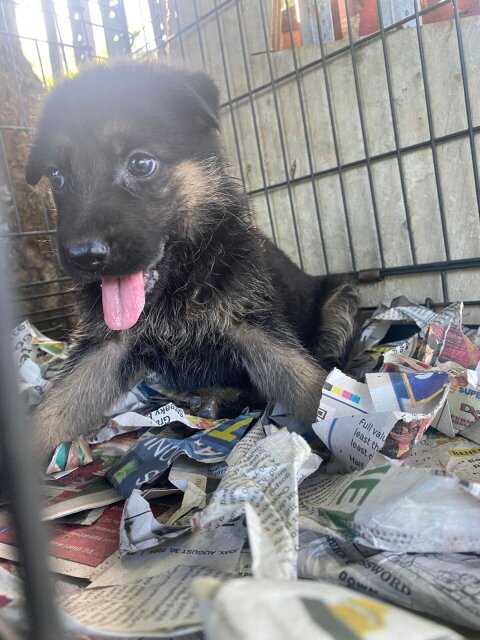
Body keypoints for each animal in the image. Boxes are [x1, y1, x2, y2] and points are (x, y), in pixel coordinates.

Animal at [24, 62, 358, 458]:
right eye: (57, 176)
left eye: (141, 163)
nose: (85, 256)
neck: (177, 283)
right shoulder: (104, 348)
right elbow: (55, 408)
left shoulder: (251, 325)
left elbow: (307, 381)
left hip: (340, 300)